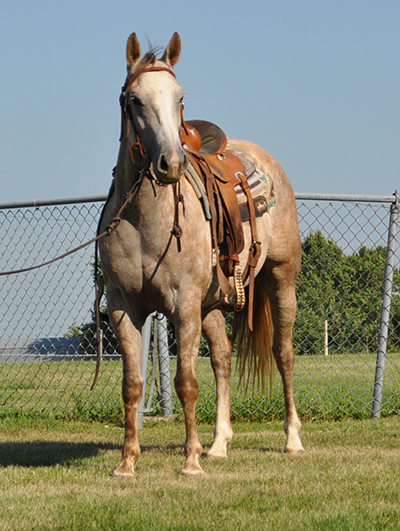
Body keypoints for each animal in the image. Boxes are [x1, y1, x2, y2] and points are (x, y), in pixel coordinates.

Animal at [99, 31, 304, 476]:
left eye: (179, 98)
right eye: (134, 99)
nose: (171, 163)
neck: (145, 222)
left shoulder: (184, 304)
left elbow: (186, 383)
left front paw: (191, 461)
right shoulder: (124, 307)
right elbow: (132, 385)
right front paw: (127, 462)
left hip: (281, 279)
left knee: (284, 354)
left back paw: (292, 440)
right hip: (212, 303)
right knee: (223, 359)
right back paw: (219, 444)